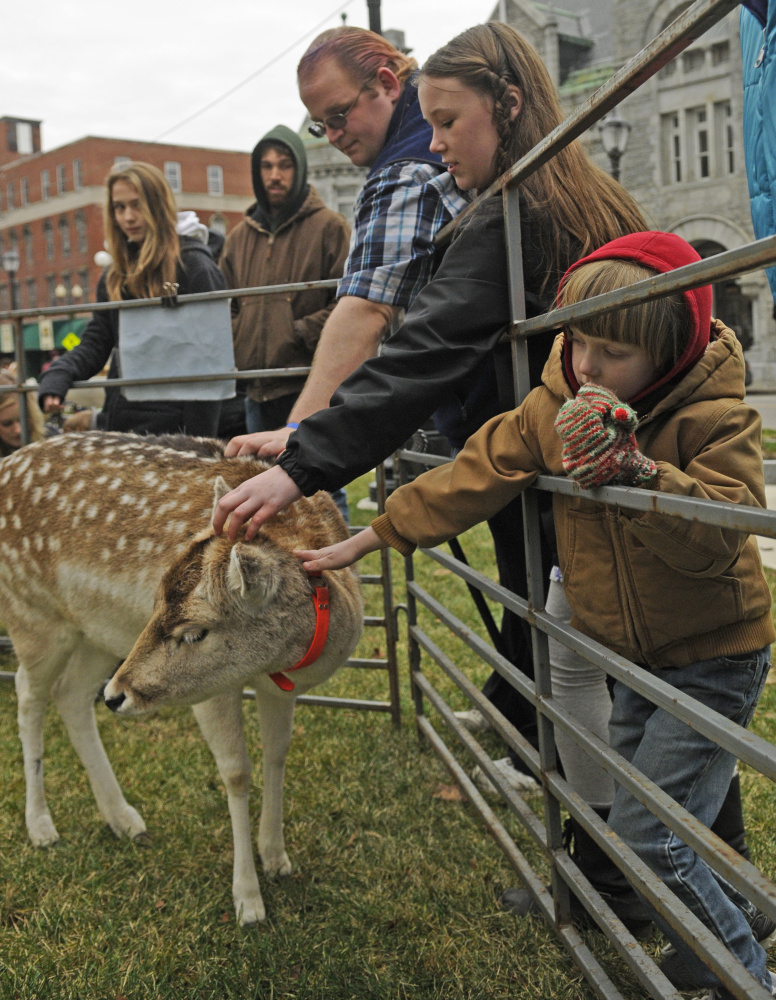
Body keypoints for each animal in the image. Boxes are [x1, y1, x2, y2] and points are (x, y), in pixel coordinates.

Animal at [0, 431, 363, 925]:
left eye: (192, 631)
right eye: (155, 601)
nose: (121, 695)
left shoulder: (278, 685)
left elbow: (277, 754)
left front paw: (277, 859)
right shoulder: (210, 690)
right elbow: (236, 772)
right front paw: (248, 900)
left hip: (98, 632)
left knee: (71, 695)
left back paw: (123, 818)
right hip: (32, 615)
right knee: (28, 695)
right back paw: (41, 826)